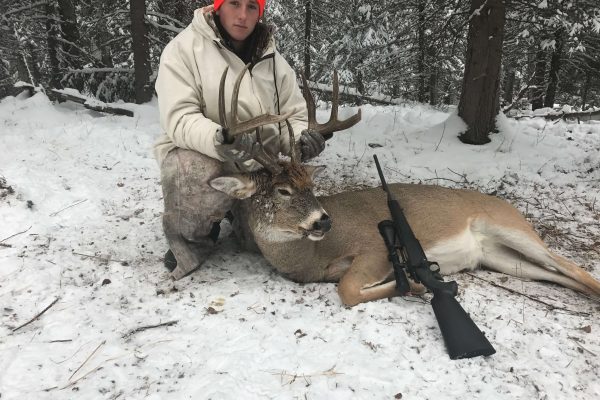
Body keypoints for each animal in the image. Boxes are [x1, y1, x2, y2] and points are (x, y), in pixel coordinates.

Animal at [210, 69, 600, 306]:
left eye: (310, 184)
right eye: (283, 191)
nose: (324, 220)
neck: (311, 256)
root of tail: (509, 207)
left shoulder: (373, 247)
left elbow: (348, 289)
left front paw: (413, 283)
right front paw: (414, 282)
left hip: (511, 228)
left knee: (572, 267)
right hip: (499, 257)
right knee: (559, 275)